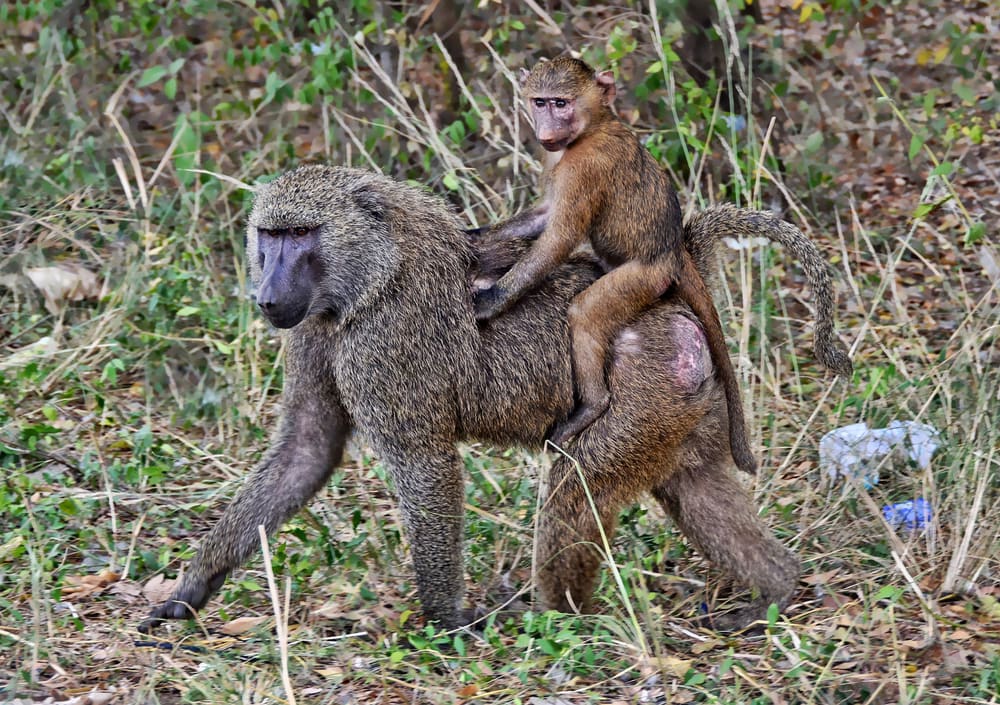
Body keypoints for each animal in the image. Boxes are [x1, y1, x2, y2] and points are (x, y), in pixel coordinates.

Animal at [141, 165, 851, 634]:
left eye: (301, 237)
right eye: (270, 237)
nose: (266, 296)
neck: (374, 273)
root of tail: (673, 294)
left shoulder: (381, 346)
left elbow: (424, 465)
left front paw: (446, 619)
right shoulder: (314, 331)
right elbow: (306, 451)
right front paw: (190, 589)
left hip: (640, 392)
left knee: (576, 491)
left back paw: (554, 622)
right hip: (682, 407)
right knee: (695, 487)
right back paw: (776, 593)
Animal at [472, 56, 757, 476]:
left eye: (561, 103)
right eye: (540, 102)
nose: (547, 131)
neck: (593, 126)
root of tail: (673, 252)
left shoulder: (586, 167)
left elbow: (559, 238)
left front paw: (489, 301)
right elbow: (543, 216)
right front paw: (473, 236)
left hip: (642, 280)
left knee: (587, 313)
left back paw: (592, 407)